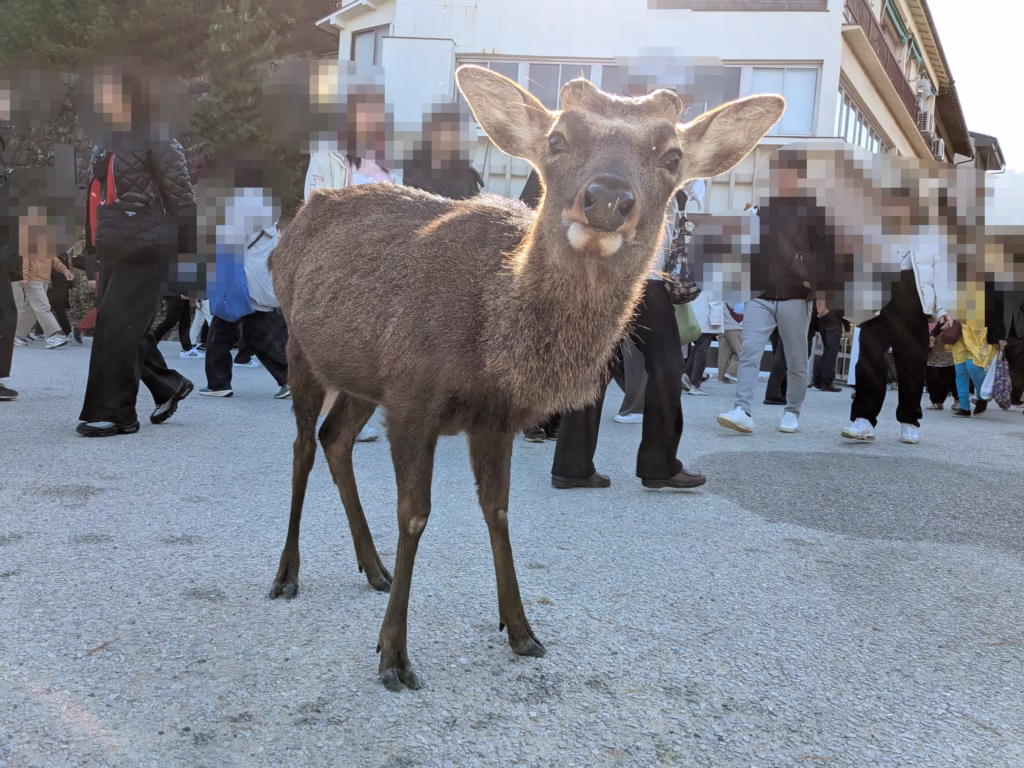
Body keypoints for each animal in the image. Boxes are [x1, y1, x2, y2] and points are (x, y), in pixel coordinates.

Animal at [267, 64, 785, 691]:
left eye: (671, 155)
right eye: (557, 139)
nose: (607, 198)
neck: (495, 350)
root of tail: (292, 228)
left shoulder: (492, 419)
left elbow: (499, 510)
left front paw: (521, 630)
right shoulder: (414, 396)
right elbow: (415, 515)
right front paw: (394, 655)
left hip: (363, 376)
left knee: (335, 437)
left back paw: (373, 567)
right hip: (301, 347)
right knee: (302, 447)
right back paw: (287, 575)